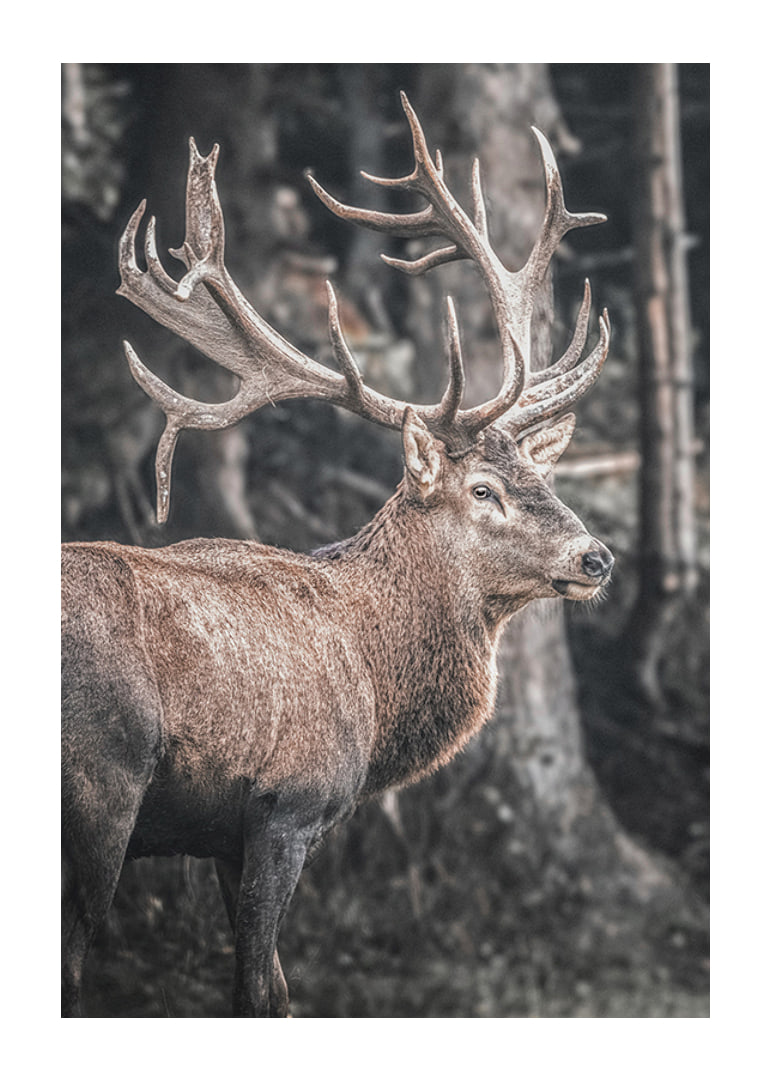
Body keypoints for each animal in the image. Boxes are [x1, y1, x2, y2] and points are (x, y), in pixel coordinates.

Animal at [61, 93, 614, 1018]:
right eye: (482, 491)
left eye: (539, 474)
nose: (596, 557)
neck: (373, 679)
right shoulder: (288, 803)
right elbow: (259, 991)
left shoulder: (222, 835)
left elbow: (277, 992)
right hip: (100, 783)